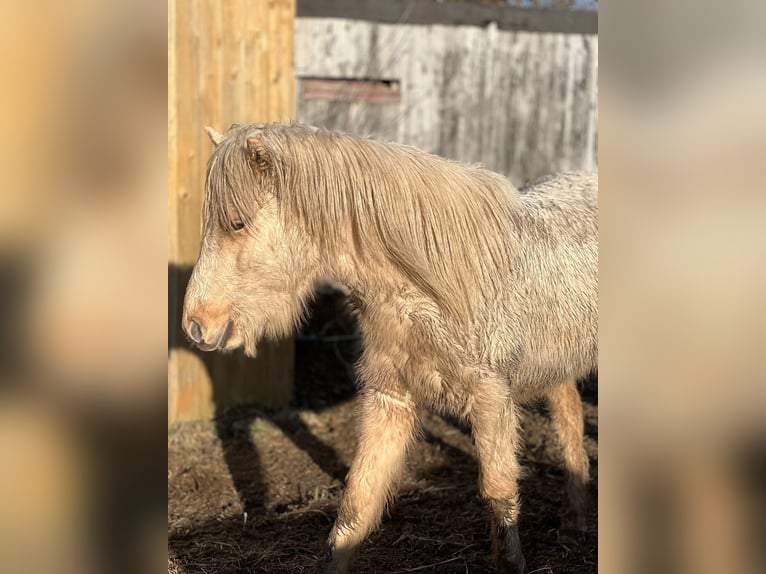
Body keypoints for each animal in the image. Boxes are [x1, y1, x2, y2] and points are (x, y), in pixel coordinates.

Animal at [182, 122, 597, 573]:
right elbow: (356, 507)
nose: (196, 325)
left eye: (237, 223)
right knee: (570, 416)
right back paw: (575, 523)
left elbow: (499, 496)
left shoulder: (492, 402)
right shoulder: (390, 399)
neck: (429, 292)